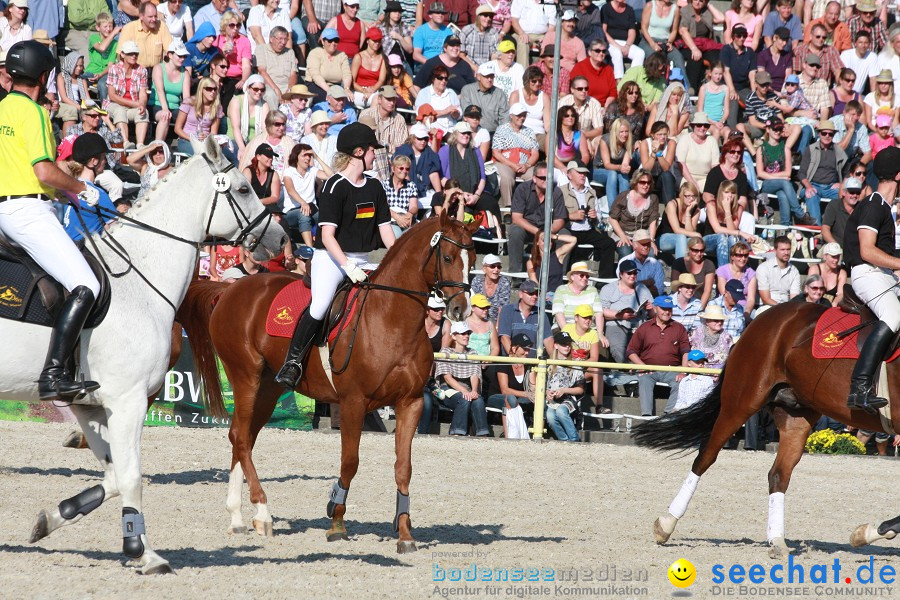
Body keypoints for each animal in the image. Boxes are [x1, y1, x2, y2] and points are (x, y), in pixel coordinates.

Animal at [5, 138, 286, 576]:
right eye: (243, 189)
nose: (280, 238)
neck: (138, 276)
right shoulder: (128, 400)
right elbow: (132, 477)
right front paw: (142, 551)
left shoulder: (91, 404)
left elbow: (114, 477)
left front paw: (51, 518)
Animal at [179, 214, 482, 552]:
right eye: (447, 257)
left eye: (473, 260)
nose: (461, 310)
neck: (391, 318)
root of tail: (227, 290)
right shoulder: (354, 403)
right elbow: (350, 462)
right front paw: (336, 521)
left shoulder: (411, 403)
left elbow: (403, 467)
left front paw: (405, 534)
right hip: (246, 377)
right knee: (241, 438)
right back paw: (263, 511)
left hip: (269, 388)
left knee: (241, 436)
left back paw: (239, 517)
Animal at [628, 302, 900, 560]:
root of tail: (762, 319)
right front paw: (868, 532)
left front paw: (869, 533)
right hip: (741, 402)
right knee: (705, 456)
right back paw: (666, 524)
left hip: (796, 416)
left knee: (778, 475)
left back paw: (777, 541)